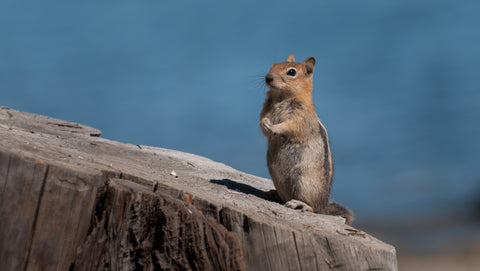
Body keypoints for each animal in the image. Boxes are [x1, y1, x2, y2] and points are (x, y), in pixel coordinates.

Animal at [260, 53, 354, 225]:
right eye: (273, 65)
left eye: (291, 72)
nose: (268, 78)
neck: (281, 97)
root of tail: (324, 206)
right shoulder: (266, 107)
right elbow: (262, 122)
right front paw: (265, 123)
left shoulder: (301, 116)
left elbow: (291, 126)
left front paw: (275, 128)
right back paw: (273, 193)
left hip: (304, 181)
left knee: (313, 208)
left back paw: (300, 204)